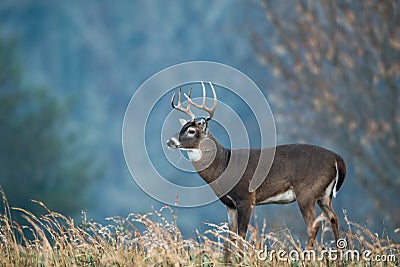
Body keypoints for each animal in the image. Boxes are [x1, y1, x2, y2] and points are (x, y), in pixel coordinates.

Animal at [166, 82, 346, 262]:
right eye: (181, 128)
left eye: (191, 131)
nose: (170, 141)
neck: (223, 165)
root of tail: (337, 159)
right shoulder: (230, 204)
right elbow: (231, 235)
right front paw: (229, 261)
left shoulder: (246, 197)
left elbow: (241, 233)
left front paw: (240, 260)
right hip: (324, 195)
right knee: (333, 218)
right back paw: (339, 257)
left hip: (306, 192)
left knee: (314, 225)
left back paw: (305, 258)